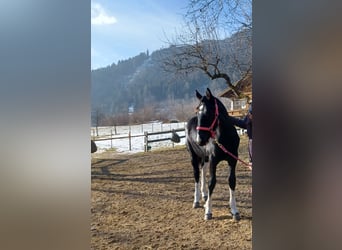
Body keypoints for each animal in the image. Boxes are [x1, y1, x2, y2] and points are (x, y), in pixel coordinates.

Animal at [184, 88, 240, 221]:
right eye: (197, 111)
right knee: (196, 175)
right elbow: (212, 182)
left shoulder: (233, 160)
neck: (224, 138)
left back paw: (204, 195)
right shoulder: (213, 161)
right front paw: (208, 211)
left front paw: (234, 210)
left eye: (208, 113)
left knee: (203, 171)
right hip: (194, 157)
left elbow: (231, 181)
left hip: (205, 158)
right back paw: (196, 201)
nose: (200, 140)